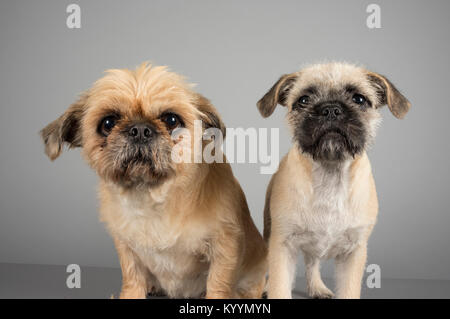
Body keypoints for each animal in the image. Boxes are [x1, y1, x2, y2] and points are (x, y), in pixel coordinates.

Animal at [40, 63, 266, 300]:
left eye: (171, 120)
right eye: (108, 123)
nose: (140, 129)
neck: (153, 197)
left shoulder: (225, 244)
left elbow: (218, 283)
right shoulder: (125, 245)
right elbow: (132, 275)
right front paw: (131, 295)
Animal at [256, 62, 412, 300]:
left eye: (359, 99)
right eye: (303, 100)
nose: (330, 109)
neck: (330, 174)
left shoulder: (353, 253)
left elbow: (348, 290)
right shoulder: (282, 245)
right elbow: (280, 285)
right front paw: (273, 288)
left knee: (312, 262)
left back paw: (317, 287)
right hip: (269, 232)